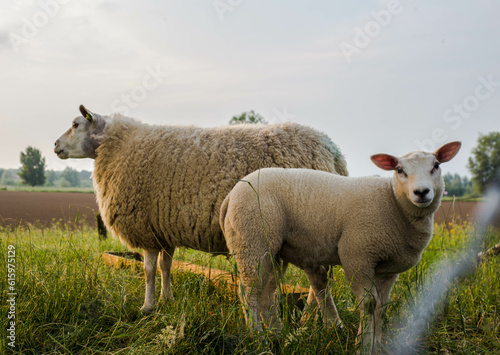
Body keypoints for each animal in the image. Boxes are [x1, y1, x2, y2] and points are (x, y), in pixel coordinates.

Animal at [51, 104, 348, 312]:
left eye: (76, 124)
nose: (55, 145)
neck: (117, 145)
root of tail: (333, 152)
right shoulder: (163, 227)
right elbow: (165, 266)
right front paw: (167, 299)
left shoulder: (146, 227)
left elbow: (148, 270)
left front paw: (147, 306)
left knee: (319, 283)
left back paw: (308, 316)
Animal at [221, 142, 462, 355]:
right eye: (400, 170)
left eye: (436, 166)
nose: (421, 192)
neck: (393, 202)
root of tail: (232, 194)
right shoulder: (357, 254)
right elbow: (370, 304)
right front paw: (362, 347)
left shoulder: (388, 269)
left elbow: (381, 307)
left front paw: (375, 346)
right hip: (252, 242)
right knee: (248, 294)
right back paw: (259, 341)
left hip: (273, 251)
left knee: (266, 292)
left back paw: (277, 336)